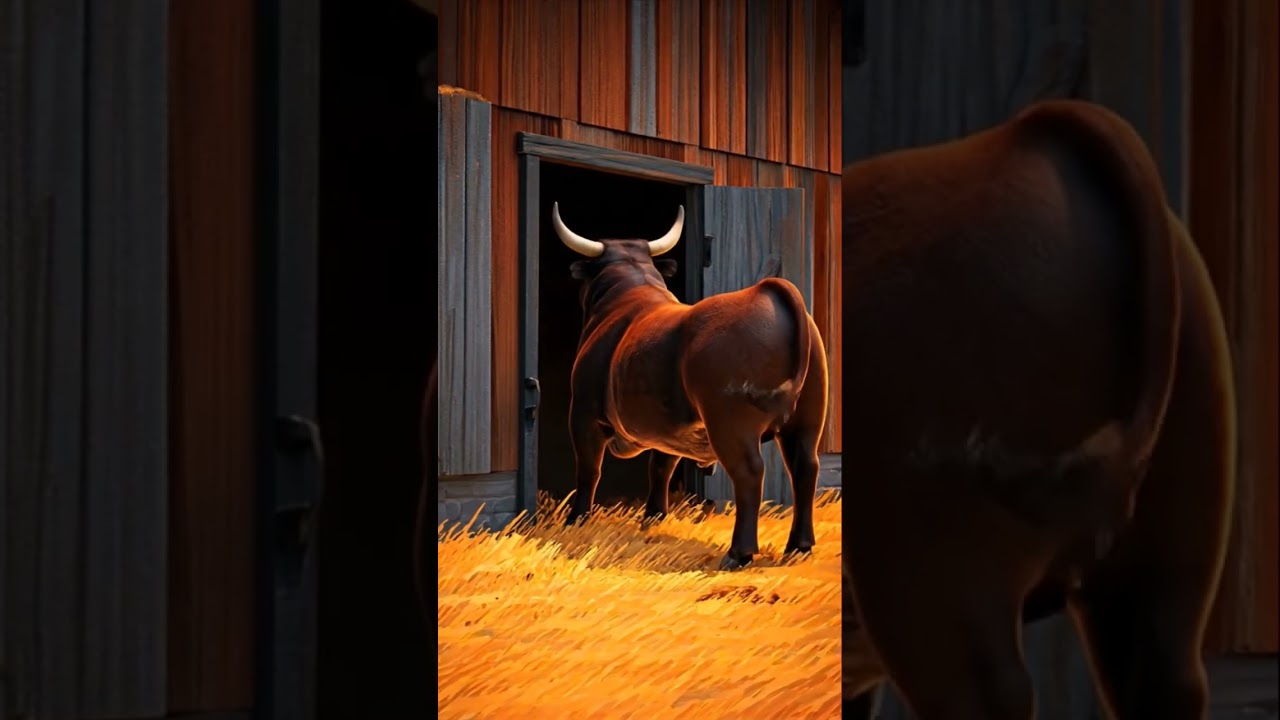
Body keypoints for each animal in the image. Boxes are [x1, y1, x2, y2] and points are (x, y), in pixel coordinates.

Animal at [553, 203, 829, 570]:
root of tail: (769, 289)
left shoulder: (583, 413)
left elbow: (588, 469)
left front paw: (576, 518)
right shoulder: (666, 428)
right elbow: (661, 466)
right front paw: (653, 517)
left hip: (730, 424)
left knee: (749, 472)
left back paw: (738, 552)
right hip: (807, 420)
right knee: (805, 468)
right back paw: (799, 545)